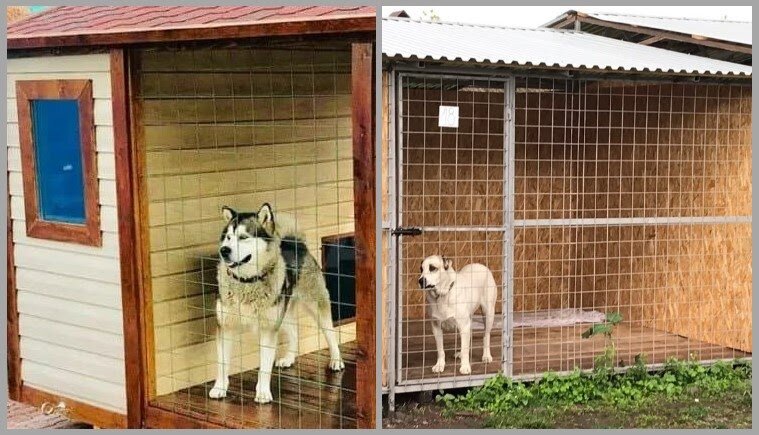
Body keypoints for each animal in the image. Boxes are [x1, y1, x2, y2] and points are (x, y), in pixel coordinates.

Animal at [208, 204, 344, 406]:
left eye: (243, 237)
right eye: (228, 238)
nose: (224, 250)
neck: (246, 282)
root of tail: (296, 243)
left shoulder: (267, 330)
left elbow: (264, 366)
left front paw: (263, 393)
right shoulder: (226, 326)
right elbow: (222, 363)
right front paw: (219, 388)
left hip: (316, 307)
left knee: (330, 333)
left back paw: (336, 360)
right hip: (282, 313)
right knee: (294, 332)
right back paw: (289, 358)